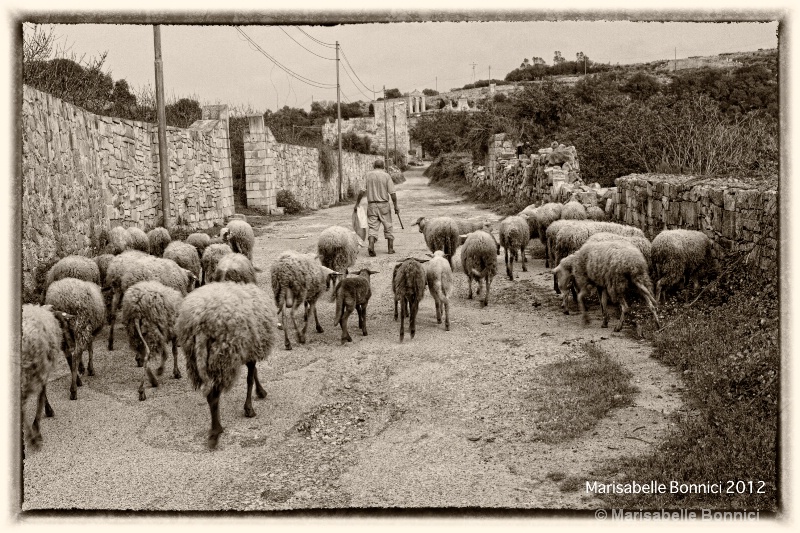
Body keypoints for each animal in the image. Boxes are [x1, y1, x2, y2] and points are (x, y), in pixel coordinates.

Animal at [21, 304, 72, 448]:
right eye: (64, 324)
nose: (71, 348)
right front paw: (37, 427)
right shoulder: (40, 370)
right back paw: (32, 437)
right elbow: (41, 396)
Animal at [176, 280, 278, 446]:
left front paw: (260, 392)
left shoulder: (248, 349)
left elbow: (254, 373)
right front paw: (249, 408)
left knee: (210, 395)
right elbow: (250, 378)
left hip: (198, 357)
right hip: (223, 357)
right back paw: (216, 431)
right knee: (213, 396)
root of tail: (201, 323)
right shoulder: (250, 349)